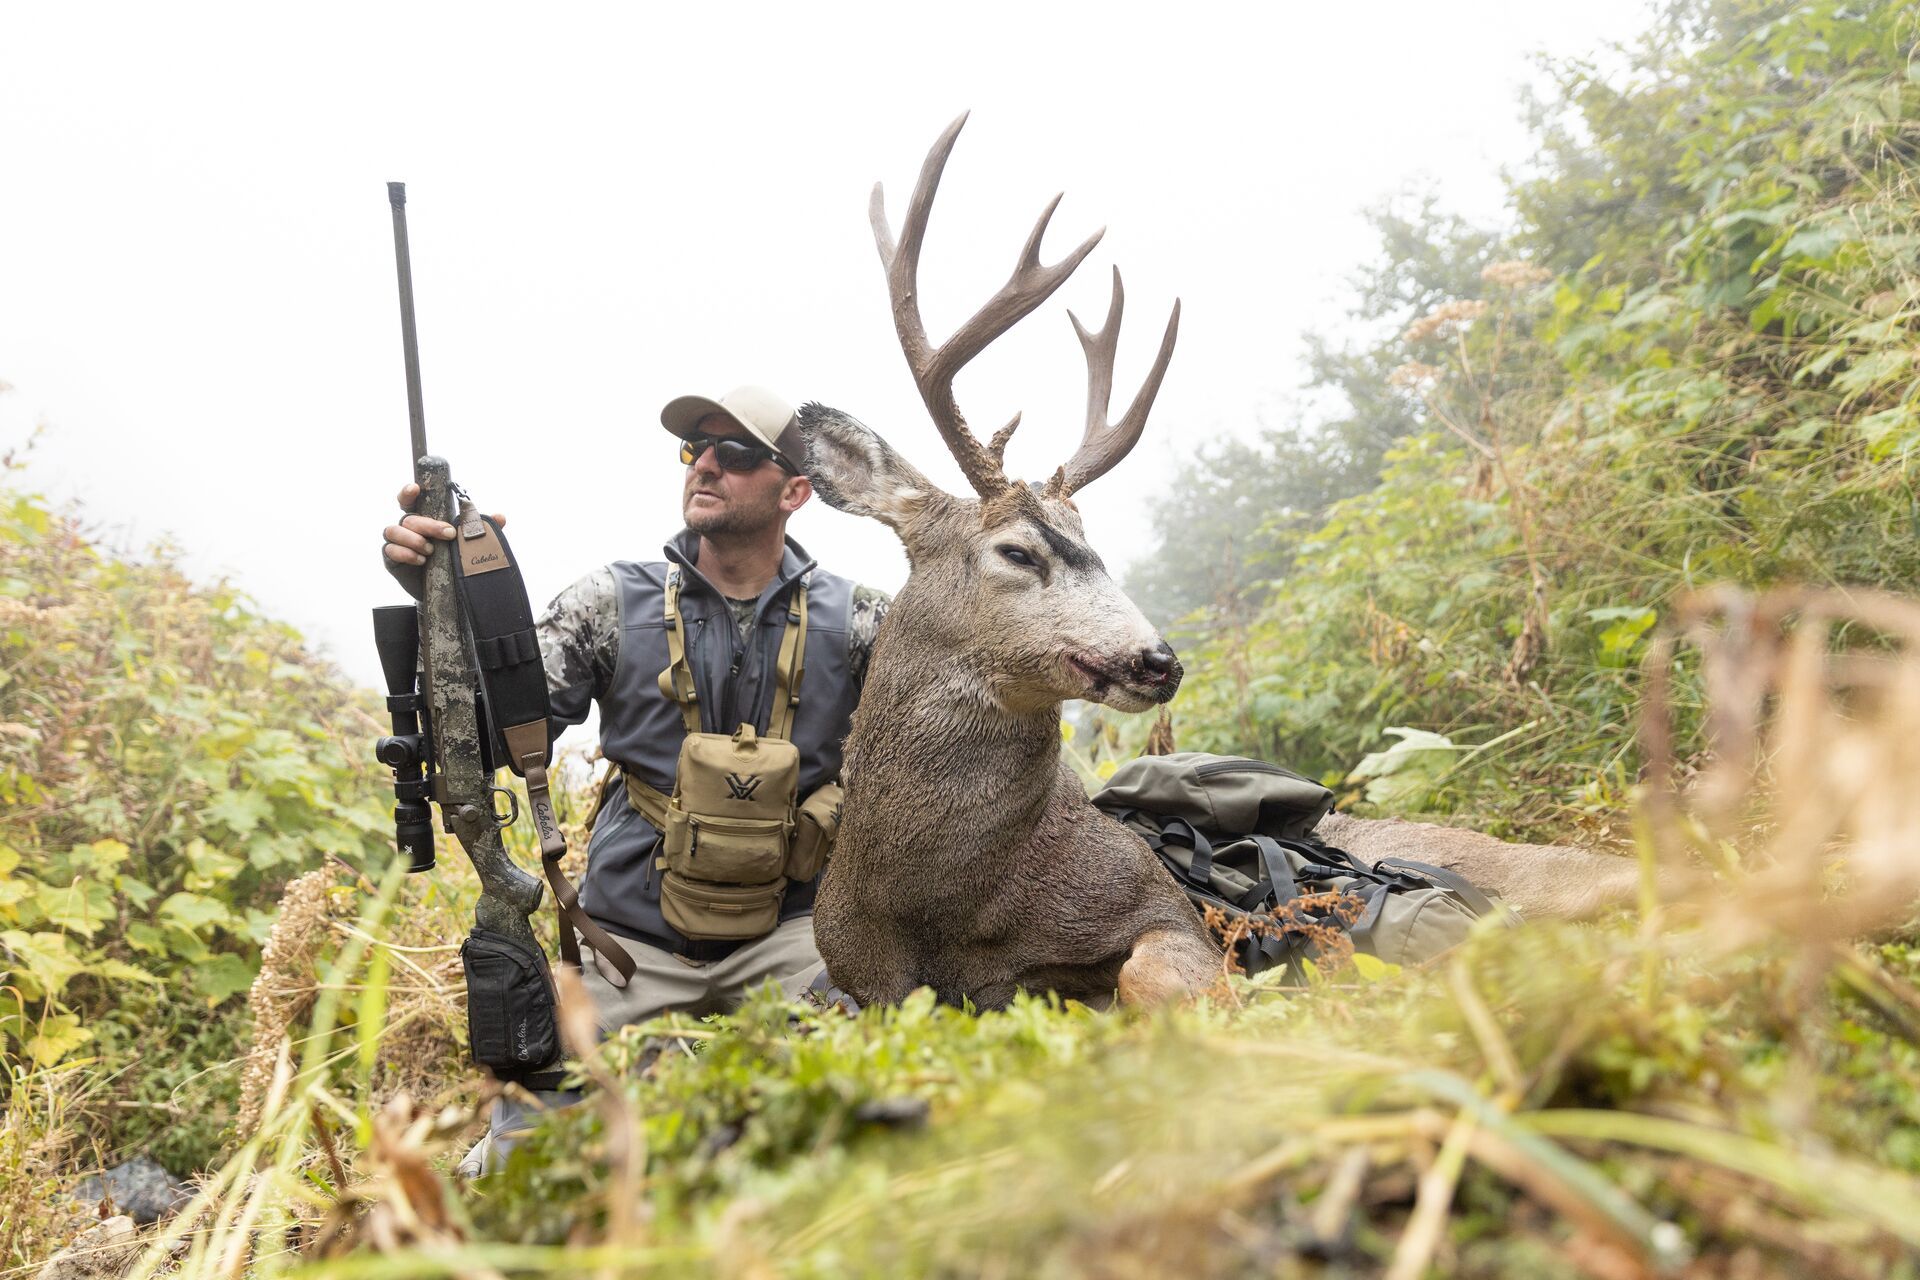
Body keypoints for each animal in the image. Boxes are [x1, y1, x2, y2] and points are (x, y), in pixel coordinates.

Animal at [801, 115, 1645, 1011]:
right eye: (1018, 551)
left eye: (1100, 547)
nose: (1158, 660)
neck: (945, 907)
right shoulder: (856, 980)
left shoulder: (1161, 905)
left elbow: (1150, 975)